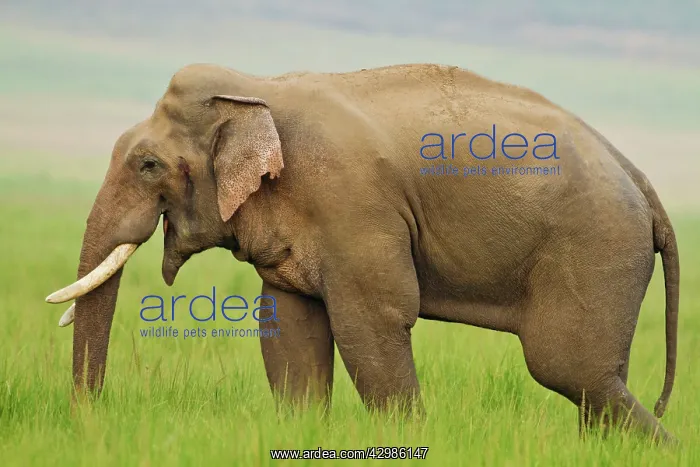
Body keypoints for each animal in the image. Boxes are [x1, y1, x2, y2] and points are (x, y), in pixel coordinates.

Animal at [46, 63, 679, 443]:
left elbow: (371, 319)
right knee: (595, 379)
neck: (257, 90)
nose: (88, 424)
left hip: (595, 245)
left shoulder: (351, 202)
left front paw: (411, 441)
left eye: (148, 165)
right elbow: (290, 328)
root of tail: (641, 180)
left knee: (568, 369)